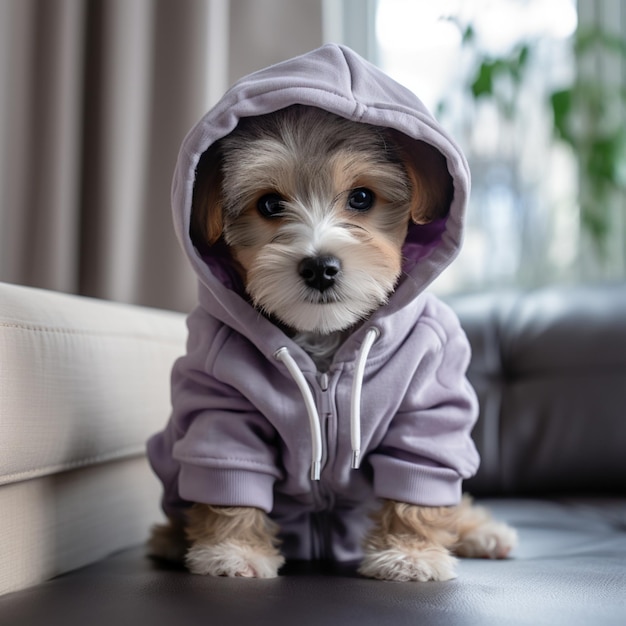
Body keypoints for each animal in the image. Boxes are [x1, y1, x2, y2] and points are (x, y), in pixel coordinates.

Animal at [147, 106, 516, 580]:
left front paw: (410, 552)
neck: (324, 344)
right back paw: (173, 538)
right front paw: (233, 550)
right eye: (270, 204)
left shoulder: (429, 397)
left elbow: (421, 468)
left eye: (361, 198)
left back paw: (480, 531)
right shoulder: (220, 398)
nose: (320, 267)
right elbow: (230, 464)